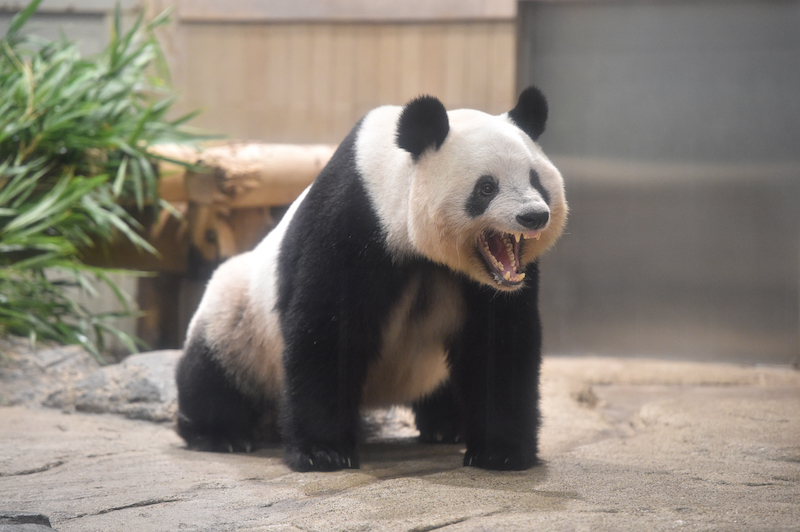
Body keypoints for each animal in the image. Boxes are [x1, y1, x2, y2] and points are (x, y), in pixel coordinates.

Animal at [177, 87, 564, 474]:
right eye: (486, 187)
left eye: (536, 181)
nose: (533, 216)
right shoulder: (353, 221)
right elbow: (325, 332)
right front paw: (323, 452)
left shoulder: (493, 286)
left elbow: (500, 344)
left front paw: (502, 452)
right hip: (240, 318)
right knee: (214, 369)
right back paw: (219, 435)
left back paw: (445, 425)